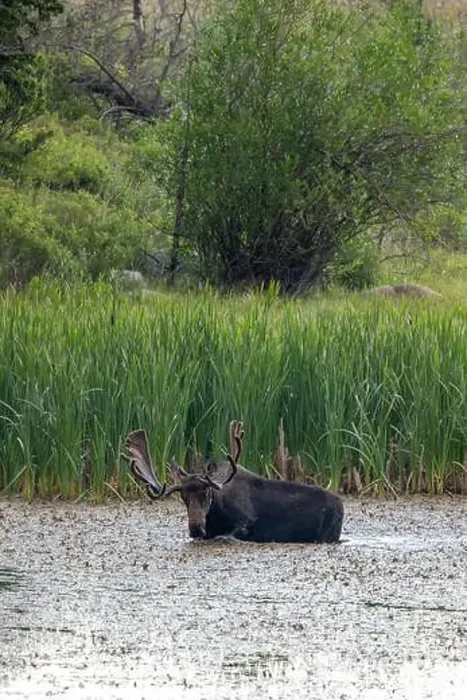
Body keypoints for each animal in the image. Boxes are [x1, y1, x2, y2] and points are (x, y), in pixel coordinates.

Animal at [125, 421, 344, 544]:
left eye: (207, 493)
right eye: (183, 497)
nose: (195, 527)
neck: (216, 514)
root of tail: (341, 504)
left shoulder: (246, 521)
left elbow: (231, 534)